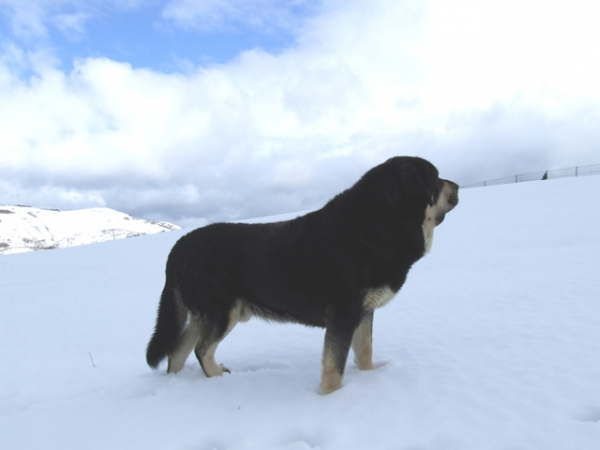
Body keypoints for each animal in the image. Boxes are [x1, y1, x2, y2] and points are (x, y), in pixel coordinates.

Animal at [146, 157, 460, 394]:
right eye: (436, 178)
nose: (457, 184)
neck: (379, 224)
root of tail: (178, 248)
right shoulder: (343, 312)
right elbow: (334, 368)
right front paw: (331, 398)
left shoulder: (364, 311)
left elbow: (365, 352)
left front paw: (369, 379)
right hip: (223, 311)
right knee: (201, 349)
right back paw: (219, 379)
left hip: (204, 314)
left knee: (177, 351)